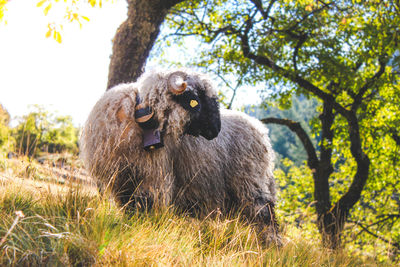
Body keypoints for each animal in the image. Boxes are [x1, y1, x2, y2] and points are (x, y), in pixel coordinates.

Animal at [81, 69, 280, 245]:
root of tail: (261, 130)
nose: (216, 130)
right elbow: (129, 208)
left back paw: (271, 248)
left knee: (265, 216)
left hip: (250, 181)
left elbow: (145, 207)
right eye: (195, 101)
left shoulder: (154, 178)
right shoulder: (121, 182)